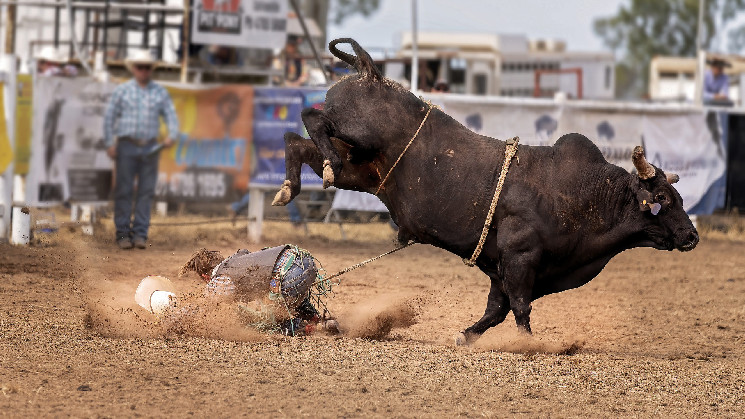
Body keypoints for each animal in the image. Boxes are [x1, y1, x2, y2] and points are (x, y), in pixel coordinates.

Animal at [274, 38, 696, 344]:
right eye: (662, 199)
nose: (692, 235)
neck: (581, 195)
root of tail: (371, 72)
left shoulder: (501, 267)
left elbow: (497, 308)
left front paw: (466, 336)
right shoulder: (520, 257)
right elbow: (520, 307)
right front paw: (527, 344)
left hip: (360, 167)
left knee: (298, 143)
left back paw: (291, 186)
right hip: (358, 135)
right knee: (312, 118)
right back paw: (314, 164)